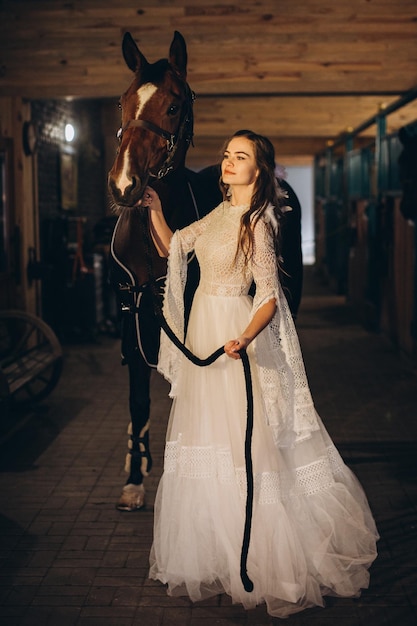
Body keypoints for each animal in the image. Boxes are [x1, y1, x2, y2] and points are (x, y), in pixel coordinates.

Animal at [107, 31, 302, 510]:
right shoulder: (132, 327)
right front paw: (134, 479)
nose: (125, 184)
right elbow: (138, 402)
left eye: (174, 105)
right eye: (122, 101)